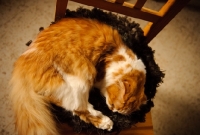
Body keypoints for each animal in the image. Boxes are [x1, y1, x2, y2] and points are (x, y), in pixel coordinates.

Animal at [9, 17, 147, 135]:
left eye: (116, 108)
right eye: (113, 105)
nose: (113, 110)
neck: (114, 54)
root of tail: (21, 62)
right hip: (79, 80)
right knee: (80, 109)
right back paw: (107, 123)